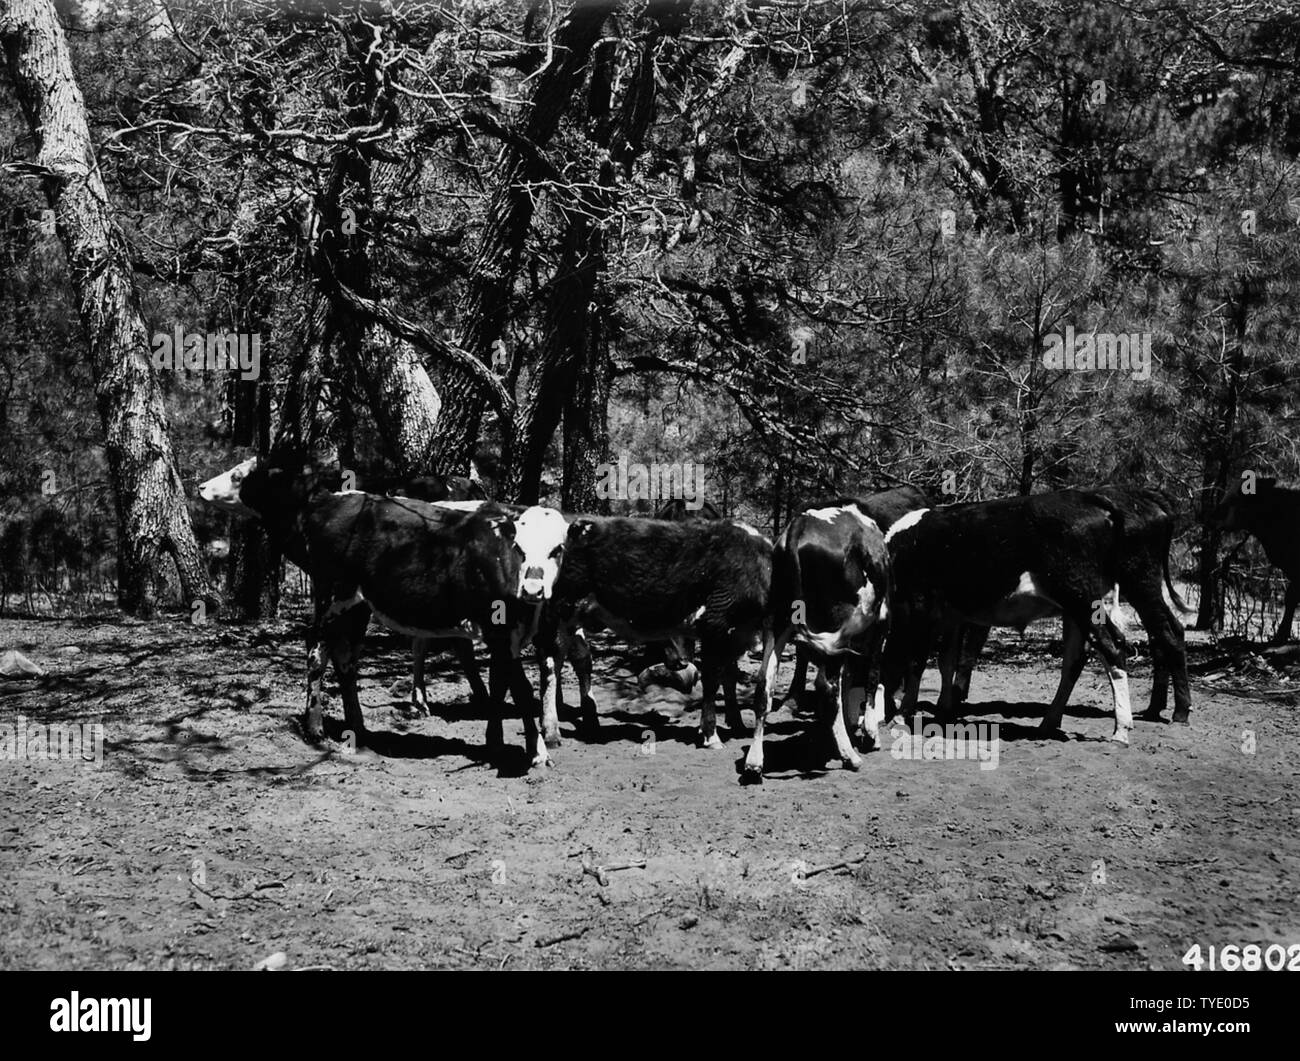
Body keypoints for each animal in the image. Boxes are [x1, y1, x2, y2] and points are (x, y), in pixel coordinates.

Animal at [198, 452, 569, 764]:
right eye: (520, 546)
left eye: (558, 548)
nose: (201, 486)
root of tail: (331, 499)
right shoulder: (499, 627)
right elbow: (519, 687)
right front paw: (537, 753)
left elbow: (511, 681)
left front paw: (513, 744)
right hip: (331, 595)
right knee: (317, 649)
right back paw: (316, 729)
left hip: (355, 605)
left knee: (343, 657)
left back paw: (358, 729)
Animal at [538, 517, 769, 748]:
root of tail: (576, 525)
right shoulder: (715, 625)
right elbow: (712, 681)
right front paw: (711, 735)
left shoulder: (736, 635)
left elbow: (730, 677)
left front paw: (737, 723)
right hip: (561, 612)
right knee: (551, 664)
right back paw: (551, 732)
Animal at [743, 501, 894, 785]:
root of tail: (799, 526)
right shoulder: (880, 625)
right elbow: (871, 677)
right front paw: (870, 734)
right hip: (835, 626)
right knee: (827, 686)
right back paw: (850, 756)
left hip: (777, 621)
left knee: (764, 684)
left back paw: (754, 763)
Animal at [883, 491, 1138, 743]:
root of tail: (1091, 498)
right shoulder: (951, 617)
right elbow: (946, 661)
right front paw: (943, 711)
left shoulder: (919, 606)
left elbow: (916, 661)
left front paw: (901, 715)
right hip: (1079, 610)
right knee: (1076, 660)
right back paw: (1048, 723)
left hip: (1081, 599)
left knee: (1111, 648)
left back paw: (1120, 730)